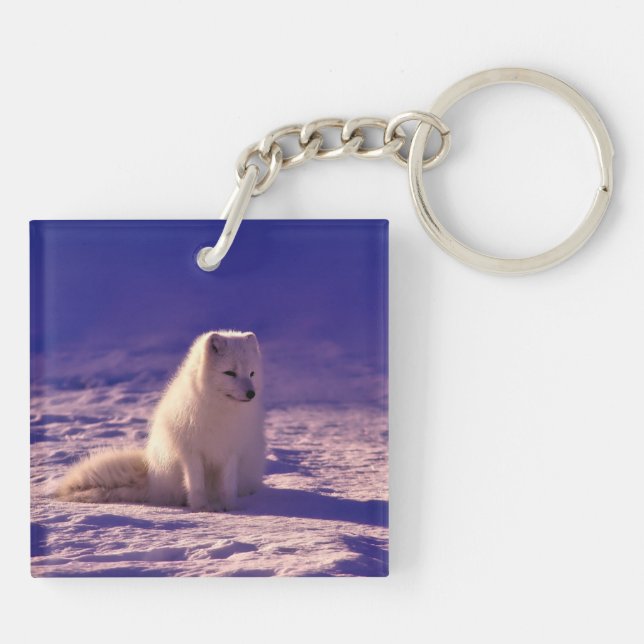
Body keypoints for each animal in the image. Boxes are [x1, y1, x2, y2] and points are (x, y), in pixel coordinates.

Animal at [55, 330, 265, 512]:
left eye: (252, 373)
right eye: (230, 373)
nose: (251, 393)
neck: (221, 411)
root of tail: (151, 477)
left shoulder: (231, 451)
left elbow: (228, 485)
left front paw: (229, 507)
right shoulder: (190, 451)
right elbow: (196, 484)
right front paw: (201, 508)